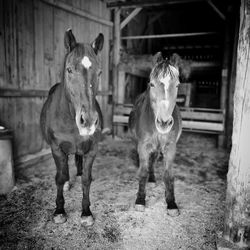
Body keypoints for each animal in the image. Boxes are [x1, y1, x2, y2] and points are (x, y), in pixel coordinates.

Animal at [40, 28, 103, 225]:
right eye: (69, 70)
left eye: (99, 72)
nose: (88, 120)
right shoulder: (57, 149)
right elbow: (60, 178)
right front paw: (59, 211)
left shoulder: (92, 150)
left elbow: (86, 180)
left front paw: (86, 212)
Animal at [129, 52, 182, 217]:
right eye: (152, 84)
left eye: (177, 85)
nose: (164, 123)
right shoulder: (143, 146)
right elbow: (143, 172)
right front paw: (140, 201)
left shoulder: (170, 148)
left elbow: (168, 175)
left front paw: (171, 203)